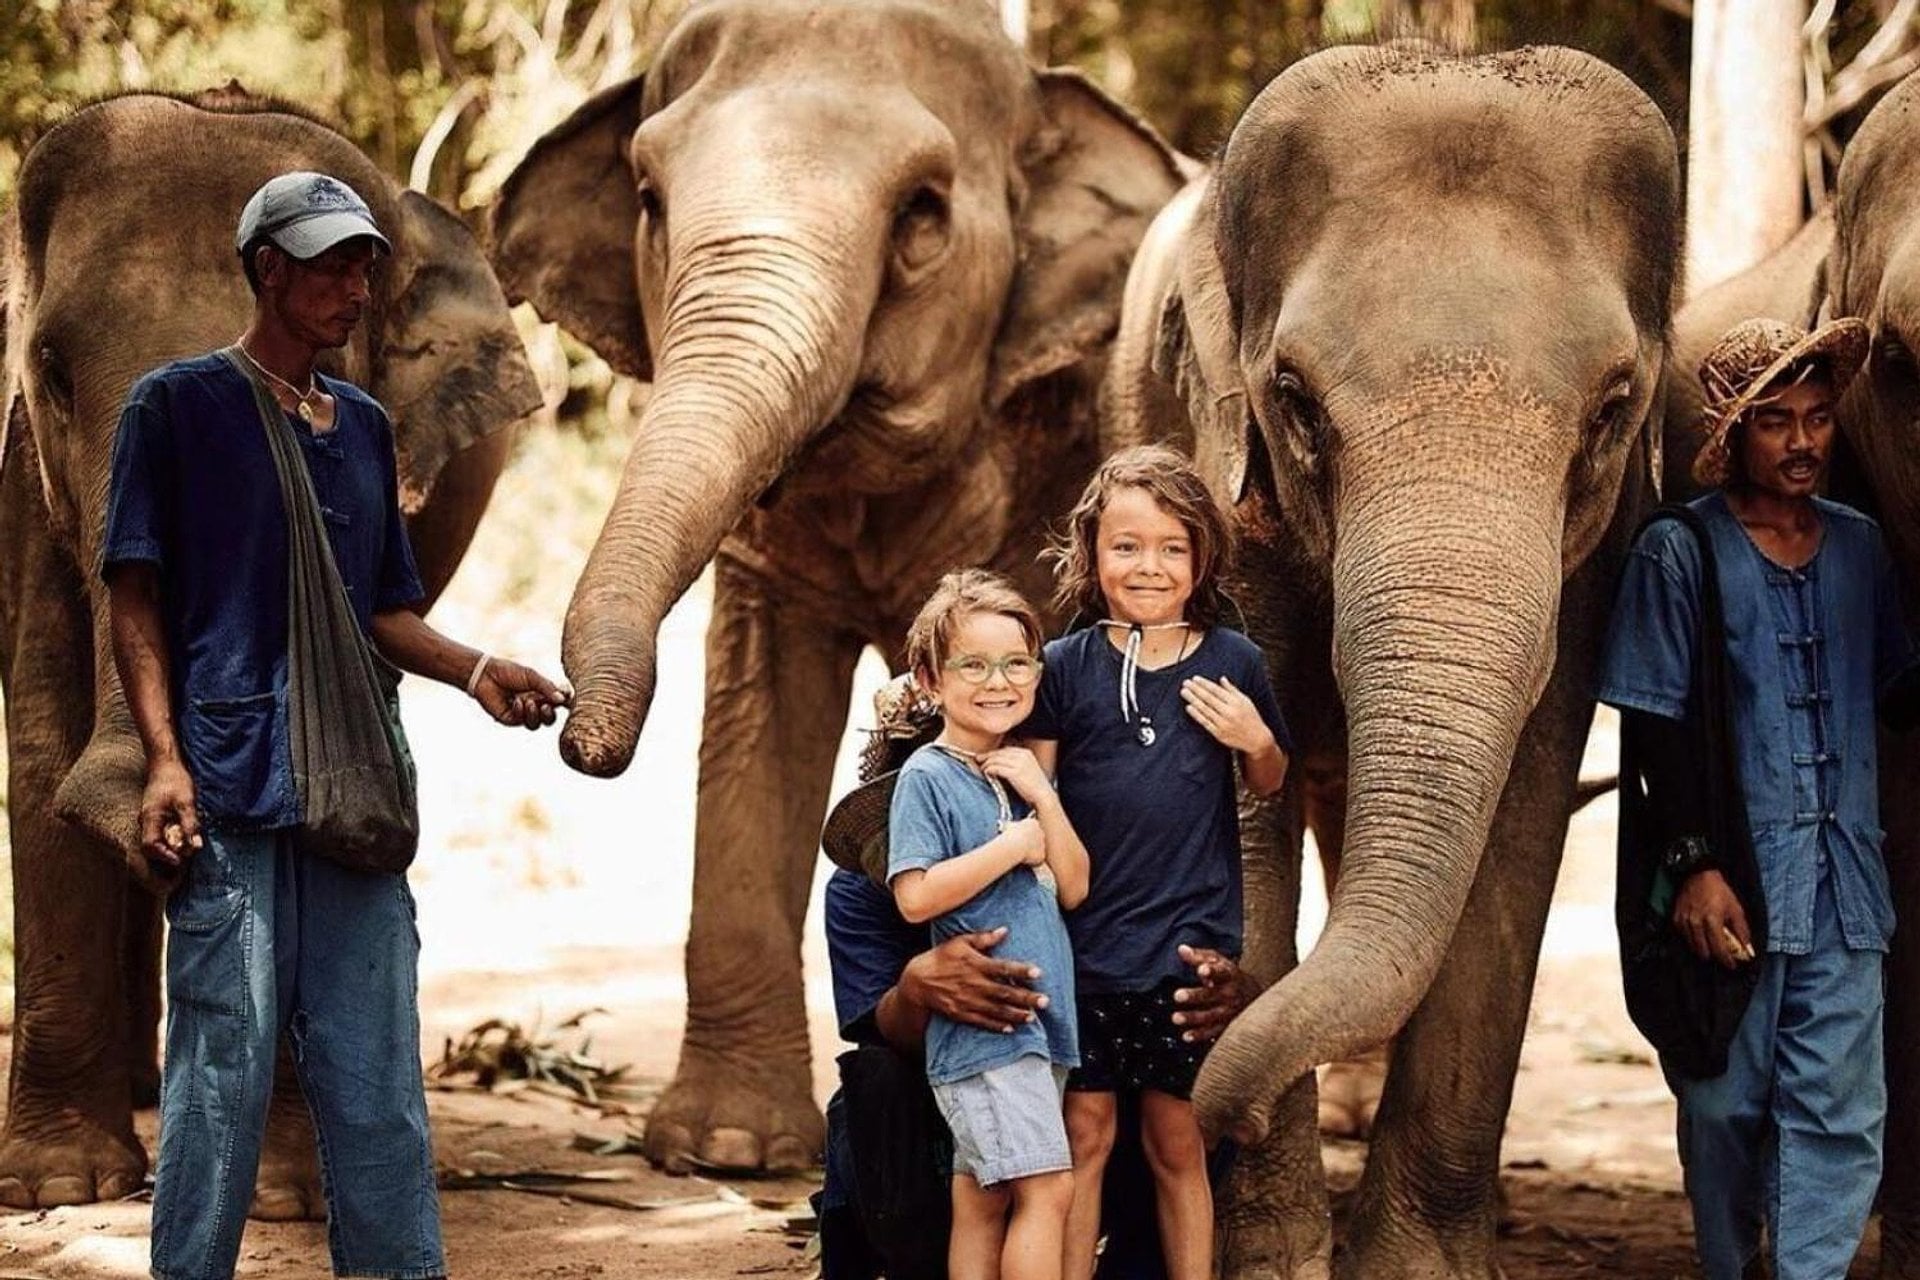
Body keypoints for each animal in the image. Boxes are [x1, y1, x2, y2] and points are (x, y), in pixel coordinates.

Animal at [1105, 45, 1679, 1278]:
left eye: (1613, 406)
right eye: (1294, 400)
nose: (1213, 1112)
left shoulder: (1602, 550)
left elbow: (1523, 808)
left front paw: (1412, 1267)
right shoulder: (1219, 470)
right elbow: (1240, 803)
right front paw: (1272, 1259)